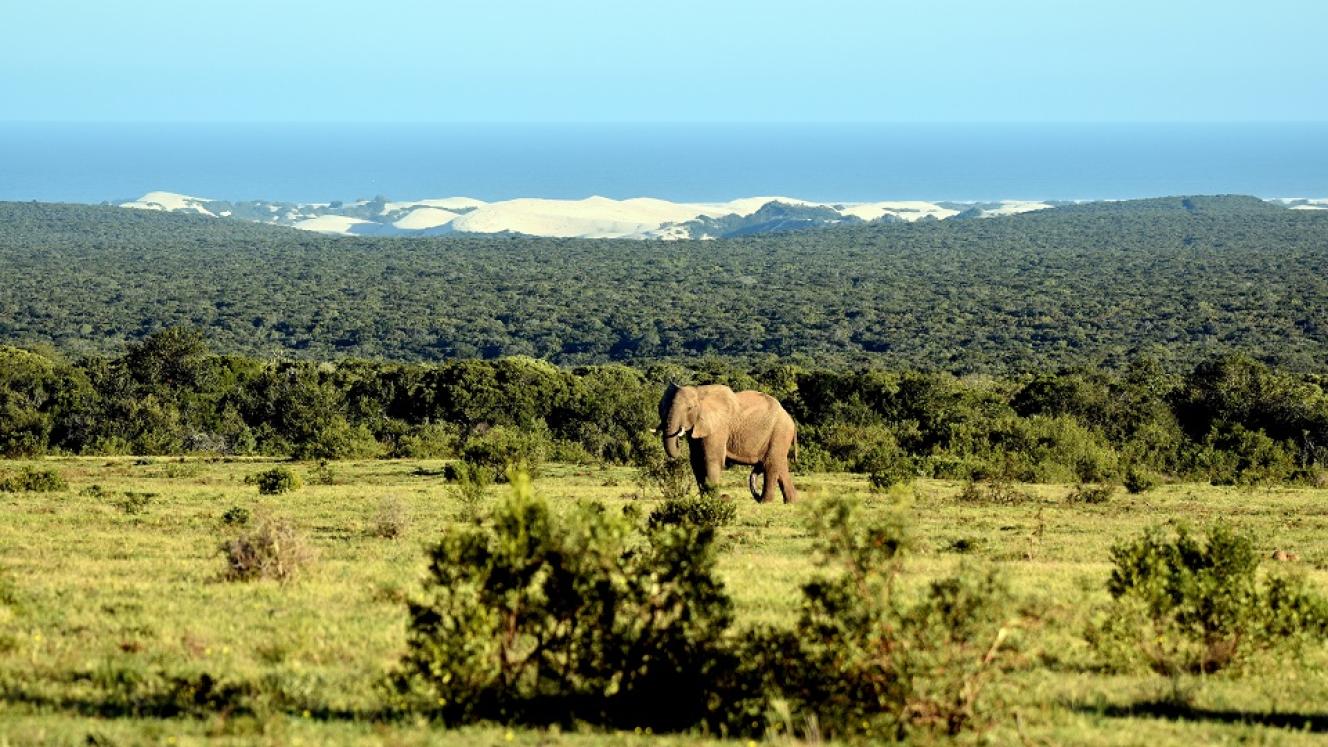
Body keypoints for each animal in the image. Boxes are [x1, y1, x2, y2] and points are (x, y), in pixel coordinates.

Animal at [658, 383, 798, 503]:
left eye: (689, 408)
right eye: (661, 407)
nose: (725, 496)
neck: (699, 392)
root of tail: (791, 420)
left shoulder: (718, 427)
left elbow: (711, 459)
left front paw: (714, 501)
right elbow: (696, 460)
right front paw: (706, 500)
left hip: (780, 432)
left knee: (770, 464)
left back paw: (765, 502)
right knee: (779, 465)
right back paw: (790, 502)